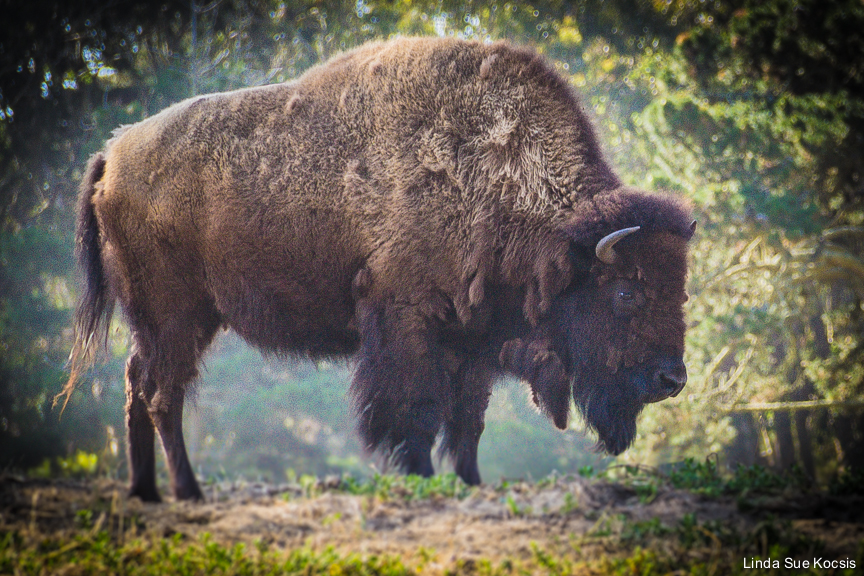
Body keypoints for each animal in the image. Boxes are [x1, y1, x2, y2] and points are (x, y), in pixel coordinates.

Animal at [64, 37, 694, 502]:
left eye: (680, 293)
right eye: (626, 293)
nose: (673, 380)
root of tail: (111, 155)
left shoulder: (472, 341)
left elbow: (466, 424)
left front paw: (470, 484)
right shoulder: (406, 320)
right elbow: (411, 410)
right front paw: (418, 476)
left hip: (164, 322)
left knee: (137, 386)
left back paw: (146, 492)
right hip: (176, 314)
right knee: (161, 394)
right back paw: (188, 491)